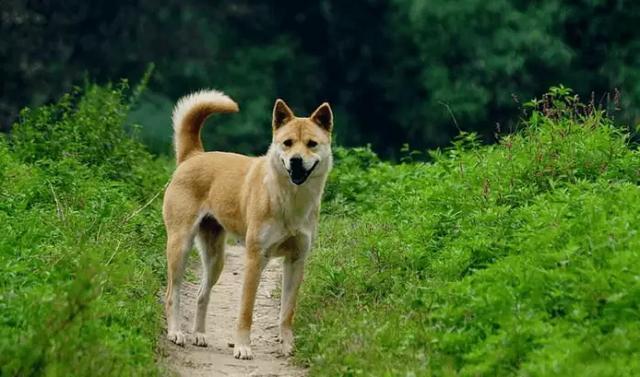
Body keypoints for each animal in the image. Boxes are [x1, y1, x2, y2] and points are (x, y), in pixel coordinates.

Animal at [162, 89, 332, 358]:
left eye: (312, 144)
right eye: (287, 143)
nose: (295, 161)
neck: (289, 199)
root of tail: (194, 155)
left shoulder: (296, 261)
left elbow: (287, 312)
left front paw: (288, 346)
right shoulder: (254, 258)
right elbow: (246, 311)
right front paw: (242, 346)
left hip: (215, 259)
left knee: (202, 295)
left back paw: (199, 335)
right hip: (180, 246)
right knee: (172, 293)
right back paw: (176, 332)